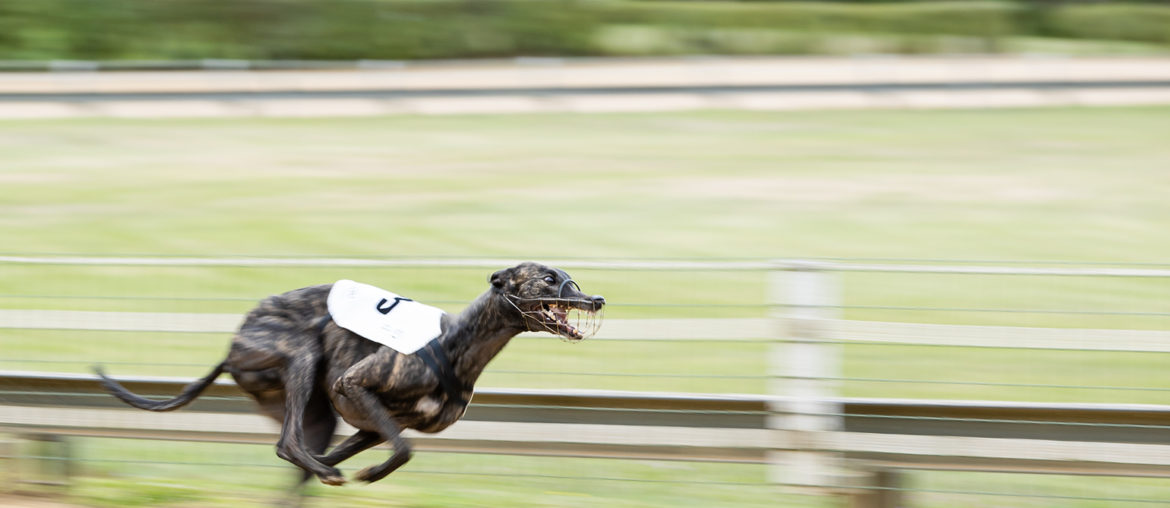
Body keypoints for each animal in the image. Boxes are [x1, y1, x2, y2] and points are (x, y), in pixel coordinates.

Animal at [94, 263, 603, 486]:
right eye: (547, 278)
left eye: (569, 277)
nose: (595, 299)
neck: (455, 343)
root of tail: (232, 343)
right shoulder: (353, 385)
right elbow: (404, 451)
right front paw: (366, 474)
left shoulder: (370, 424)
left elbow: (387, 448)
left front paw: (348, 471)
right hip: (300, 357)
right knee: (286, 443)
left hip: (318, 412)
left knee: (299, 449)